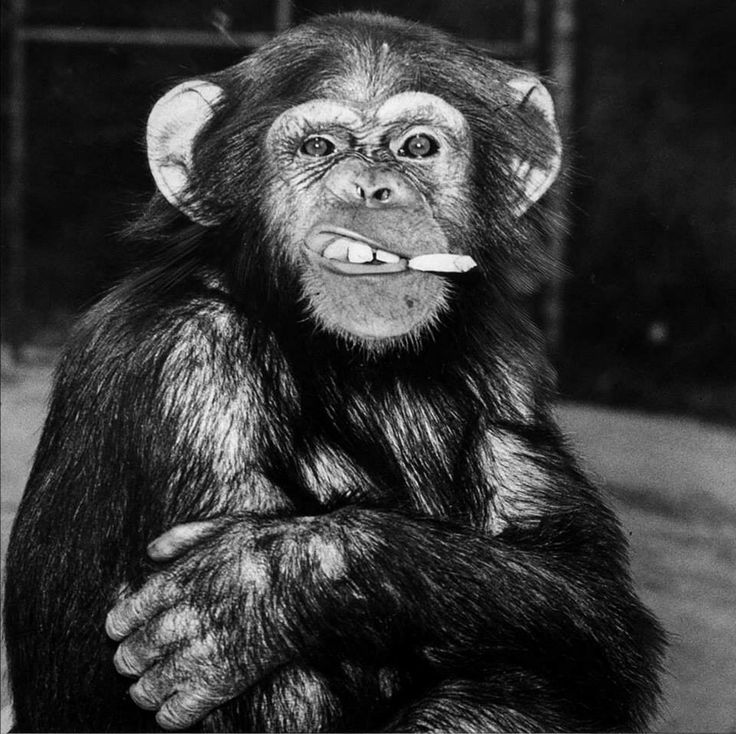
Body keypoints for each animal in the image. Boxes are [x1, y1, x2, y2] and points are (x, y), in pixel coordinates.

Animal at [4, 12, 665, 733]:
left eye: (417, 146)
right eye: (318, 146)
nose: (371, 187)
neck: (336, 351)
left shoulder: (508, 363)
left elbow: (586, 592)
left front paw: (270, 587)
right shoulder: (186, 369)